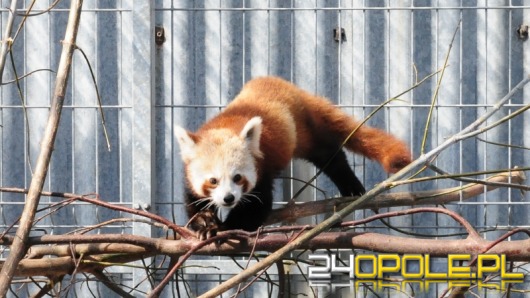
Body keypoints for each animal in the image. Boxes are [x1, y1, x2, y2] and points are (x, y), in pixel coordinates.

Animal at [175, 76, 410, 237]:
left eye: (237, 177)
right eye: (213, 180)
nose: (228, 198)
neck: (224, 126)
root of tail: (295, 89)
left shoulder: (263, 170)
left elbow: (255, 210)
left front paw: (225, 228)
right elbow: (193, 202)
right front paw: (205, 222)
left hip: (303, 133)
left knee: (330, 155)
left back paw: (351, 186)